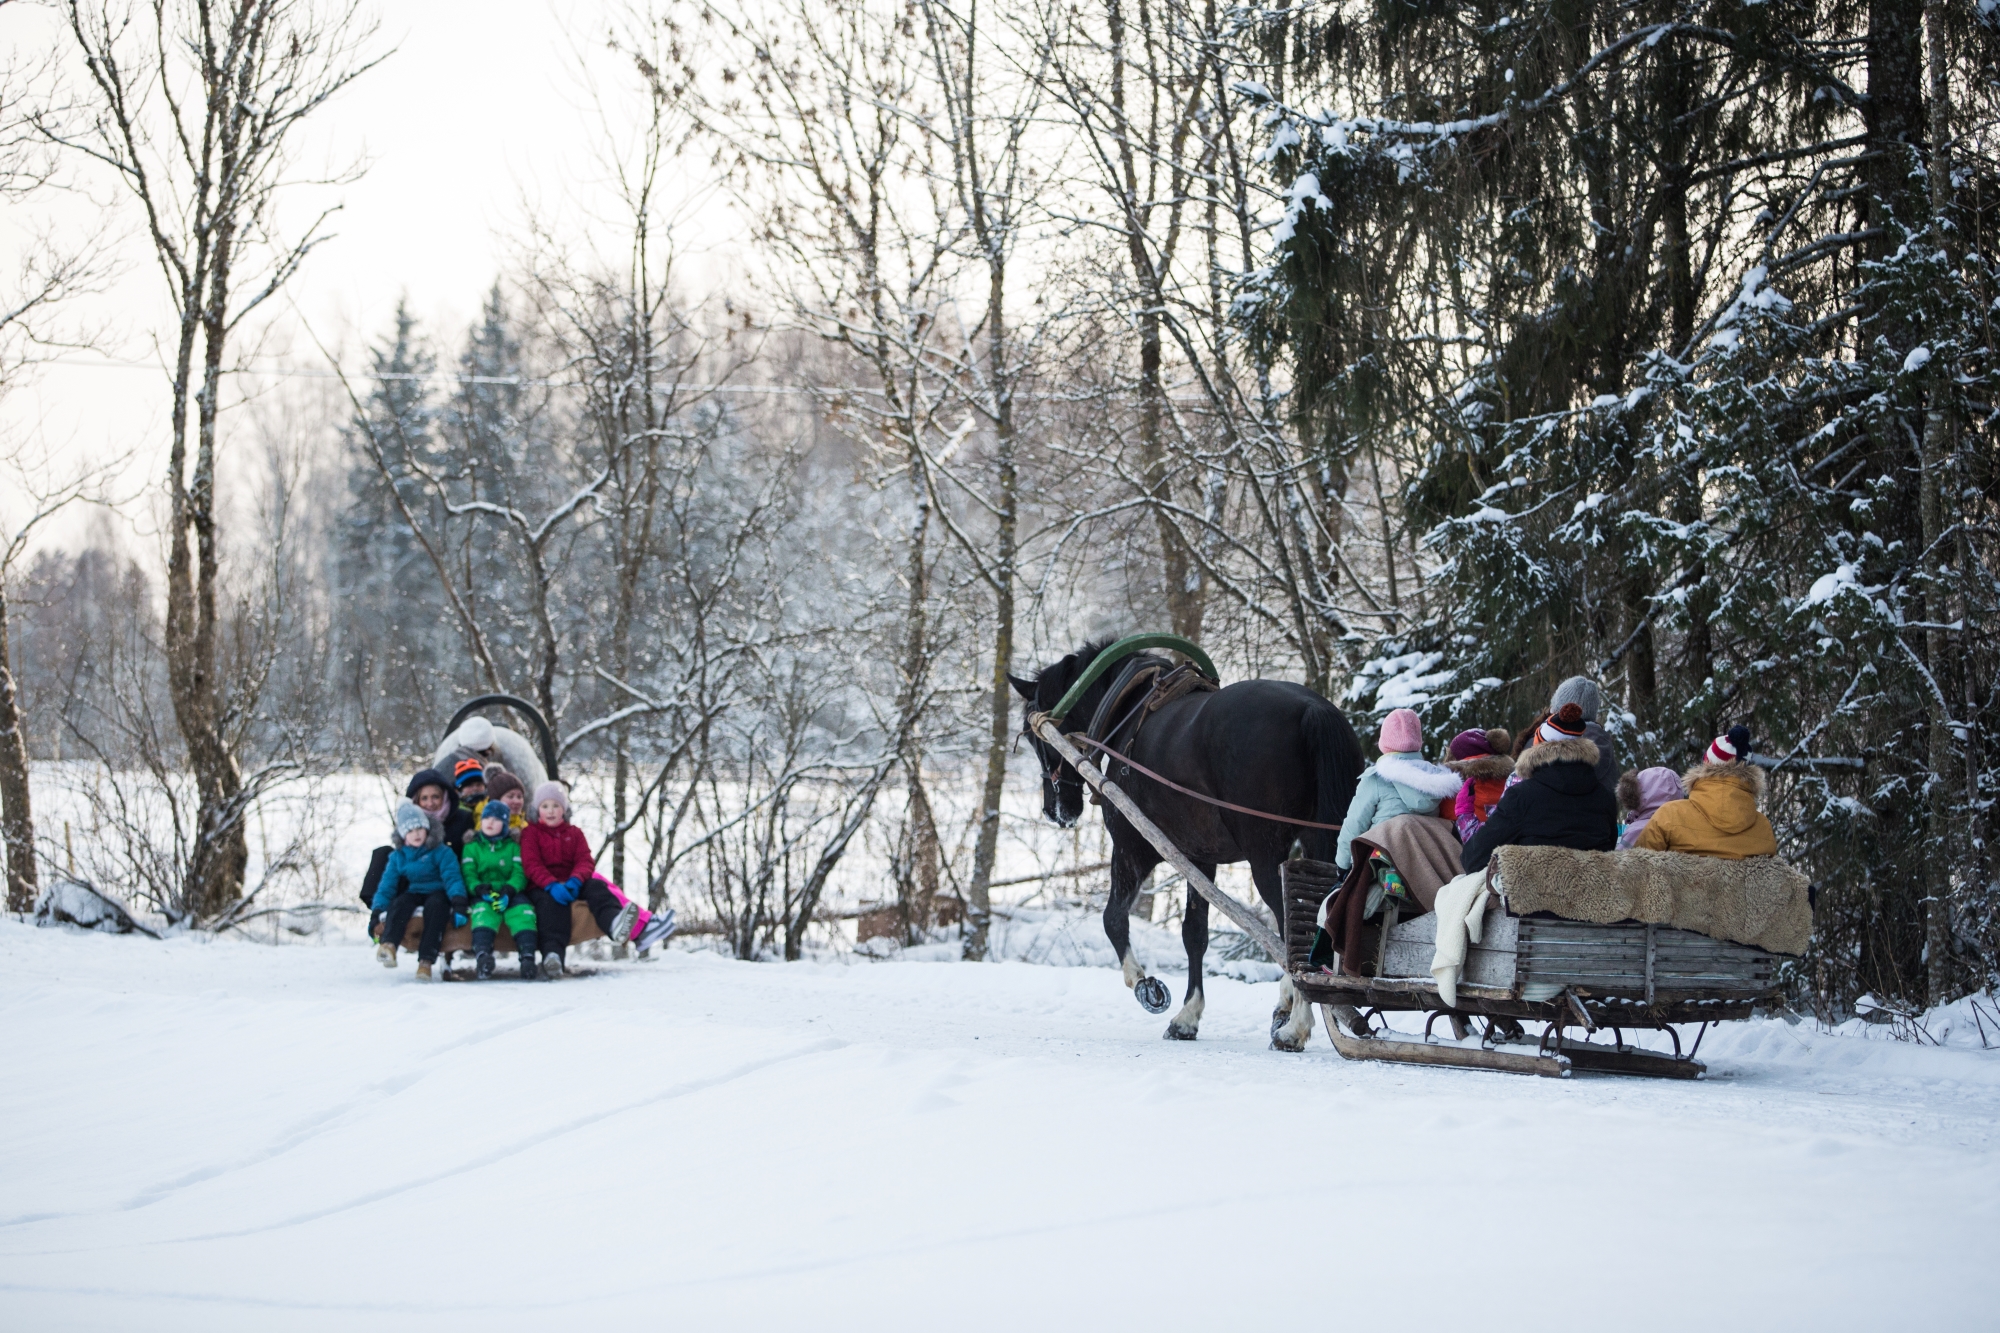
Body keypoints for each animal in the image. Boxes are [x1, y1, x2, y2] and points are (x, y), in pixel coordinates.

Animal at [1008, 640, 1368, 1040]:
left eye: (1033, 734)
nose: (1055, 811)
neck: (1127, 709)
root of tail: (1313, 710)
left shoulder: (1134, 846)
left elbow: (1113, 919)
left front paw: (1146, 986)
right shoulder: (1200, 857)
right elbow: (1194, 933)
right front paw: (1189, 1015)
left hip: (1266, 856)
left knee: (1293, 928)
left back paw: (1297, 1026)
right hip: (1322, 842)